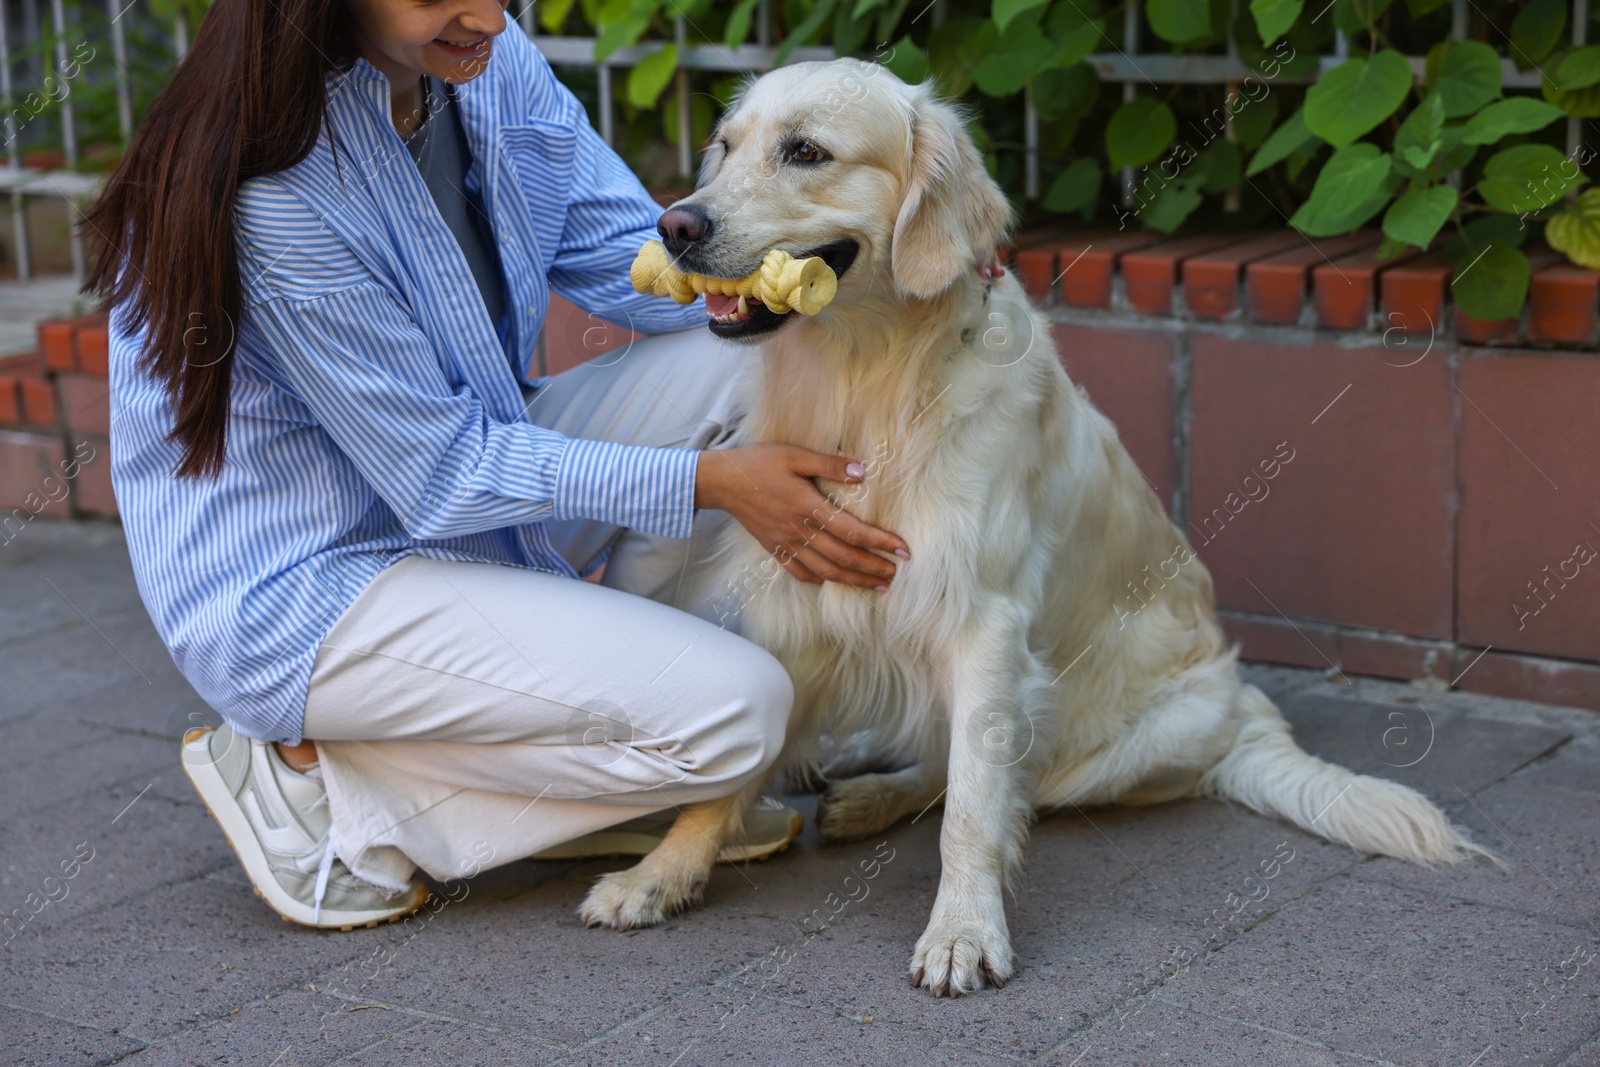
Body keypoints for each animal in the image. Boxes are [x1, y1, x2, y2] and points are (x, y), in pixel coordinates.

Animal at [576, 56, 1484, 991]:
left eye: (806, 152)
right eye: (725, 147)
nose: (675, 223)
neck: (871, 385)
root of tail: (1247, 714)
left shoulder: (985, 621)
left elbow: (974, 805)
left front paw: (963, 931)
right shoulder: (796, 601)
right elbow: (731, 783)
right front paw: (661, 874)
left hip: (1107, 732)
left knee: (990, 777)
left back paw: (874, 795)